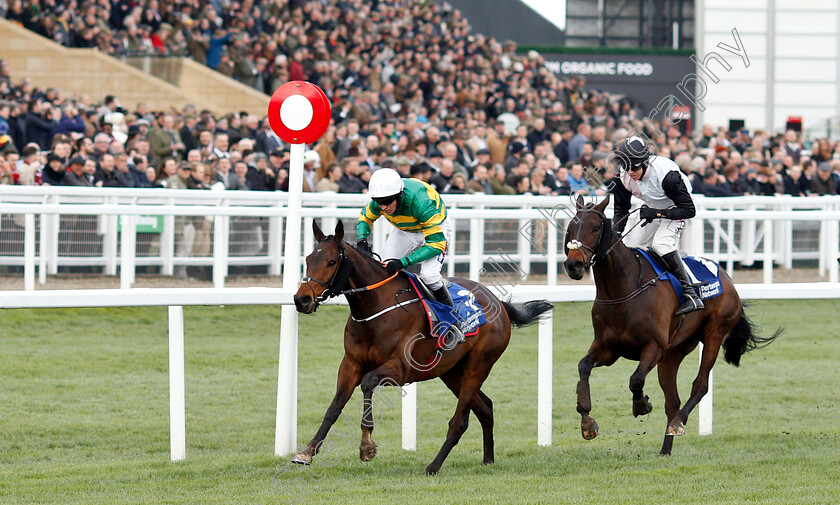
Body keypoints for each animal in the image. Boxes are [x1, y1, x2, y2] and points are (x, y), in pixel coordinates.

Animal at [292, 220, 556, 472]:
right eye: (308, 259)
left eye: (331, 261)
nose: (301, 299)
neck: (376, 309)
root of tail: (498, 302)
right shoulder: (350, 364)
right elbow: (334, 407)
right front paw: (307, 452)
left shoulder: (401, 369)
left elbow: (368, 383)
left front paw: (367, 445)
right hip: (451, 371)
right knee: (485, 408)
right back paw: (488, 460)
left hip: (478, 365)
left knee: (460, 421)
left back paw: (433, 466)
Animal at [564, 195, 780, 454]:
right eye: (570, 228)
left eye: (595, 228)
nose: (573, 265)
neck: (624, 289)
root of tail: (727, 278)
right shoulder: (608, 349)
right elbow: (583, 367)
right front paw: (587, 423)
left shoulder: (653, 347)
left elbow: (636, 380)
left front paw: (642, 405)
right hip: (673, 353)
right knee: (672, 401)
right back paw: (665, 449)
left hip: (714, 334)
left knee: (700, 385)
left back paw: (678, 423)